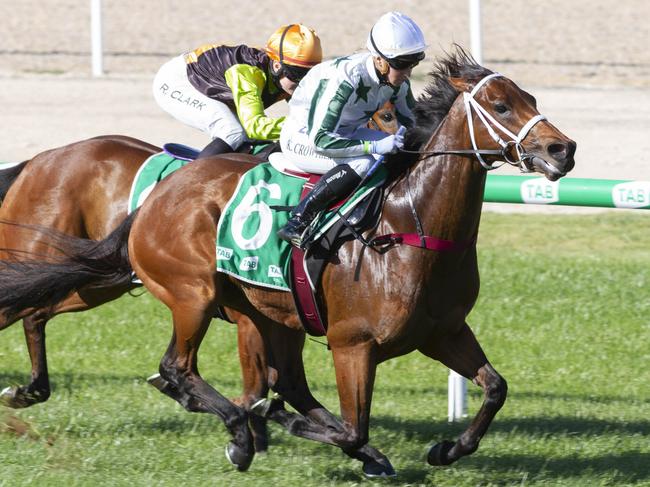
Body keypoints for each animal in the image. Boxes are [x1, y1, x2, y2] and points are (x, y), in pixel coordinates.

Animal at [0, 49, 572, 476]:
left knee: (48, 314)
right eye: (499, 105)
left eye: (531, 98)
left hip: (132, 284)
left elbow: (495, 388)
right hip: (191, 293)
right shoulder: (351, 344)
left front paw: (446, 449)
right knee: (175, 367)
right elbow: (348, 424)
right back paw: (238, 430)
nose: (561, 149)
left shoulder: (442, 331)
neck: (409, 224)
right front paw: (277, 427)